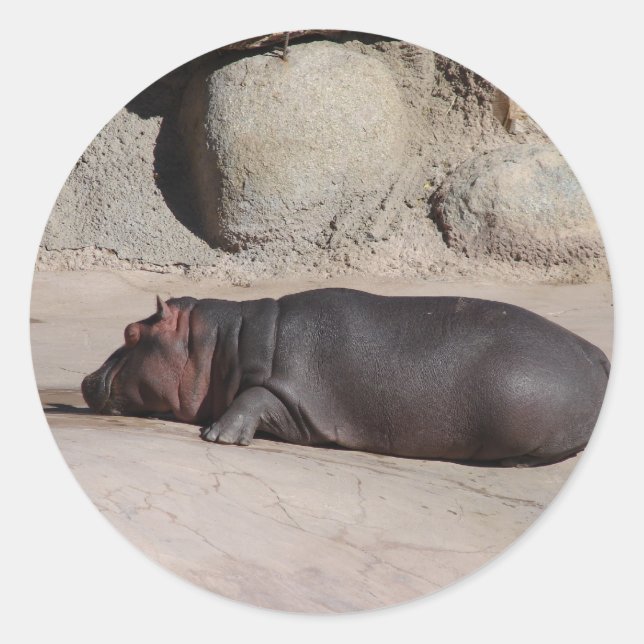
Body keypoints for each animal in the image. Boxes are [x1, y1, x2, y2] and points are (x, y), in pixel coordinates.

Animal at [82, 289, 609, 465]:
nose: (86, 380)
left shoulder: (290, 393)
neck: (219, 346)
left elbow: (252, 397)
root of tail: (599, 355)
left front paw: (217, 436)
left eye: (130, 332)